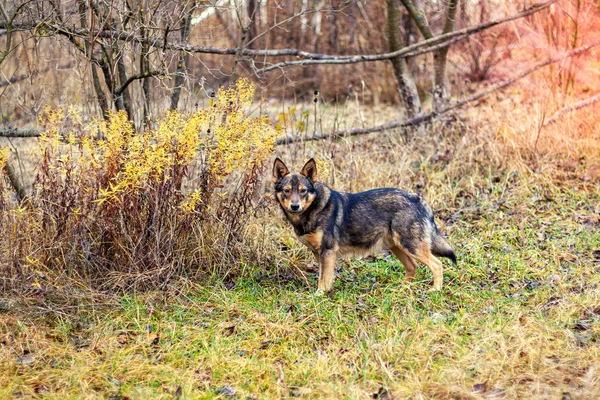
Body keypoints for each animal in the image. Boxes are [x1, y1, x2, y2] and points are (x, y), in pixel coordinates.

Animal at [274, 158, 458, 292]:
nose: (295, 206)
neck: (312, 210)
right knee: (413, 267)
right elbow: (323, 277)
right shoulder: (319, 254)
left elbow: (323, 280)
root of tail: (417, 198)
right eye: (287, 191)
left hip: (412, 246)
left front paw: (319, 296)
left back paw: (435, 290)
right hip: (398, 247)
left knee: (437, 265)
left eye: (303, 191)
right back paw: (402, 288)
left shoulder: (327, 252)